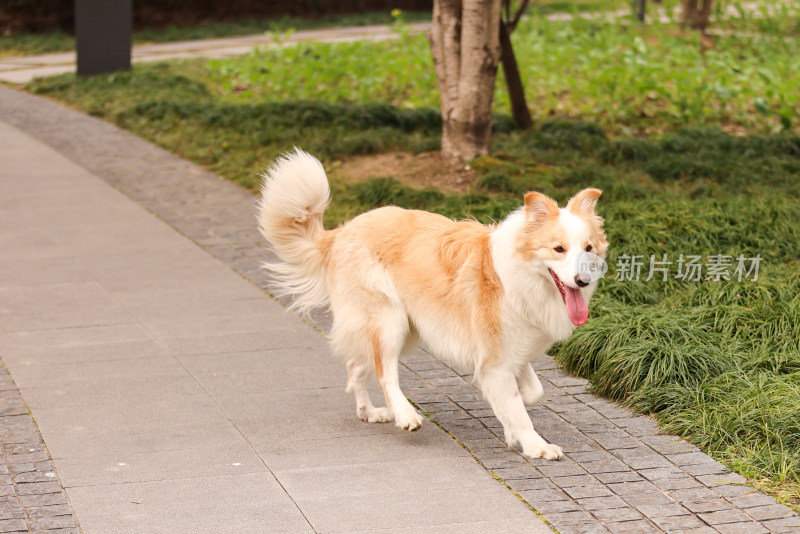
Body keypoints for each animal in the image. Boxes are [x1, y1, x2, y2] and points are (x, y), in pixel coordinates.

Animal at [260, 150, 608, 460]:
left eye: (588, 248)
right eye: (559, 249)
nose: (582, 281)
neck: (522, 275)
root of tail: (341, 231)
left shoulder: (512, 352)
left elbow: (531, 393)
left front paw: (513, 425)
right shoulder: (495, 359)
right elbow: (518, 407)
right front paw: (535, 445)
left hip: (405, 328)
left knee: (357, 366)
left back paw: (368, 412)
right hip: (390, 321)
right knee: (385, 372)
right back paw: (405, 416)